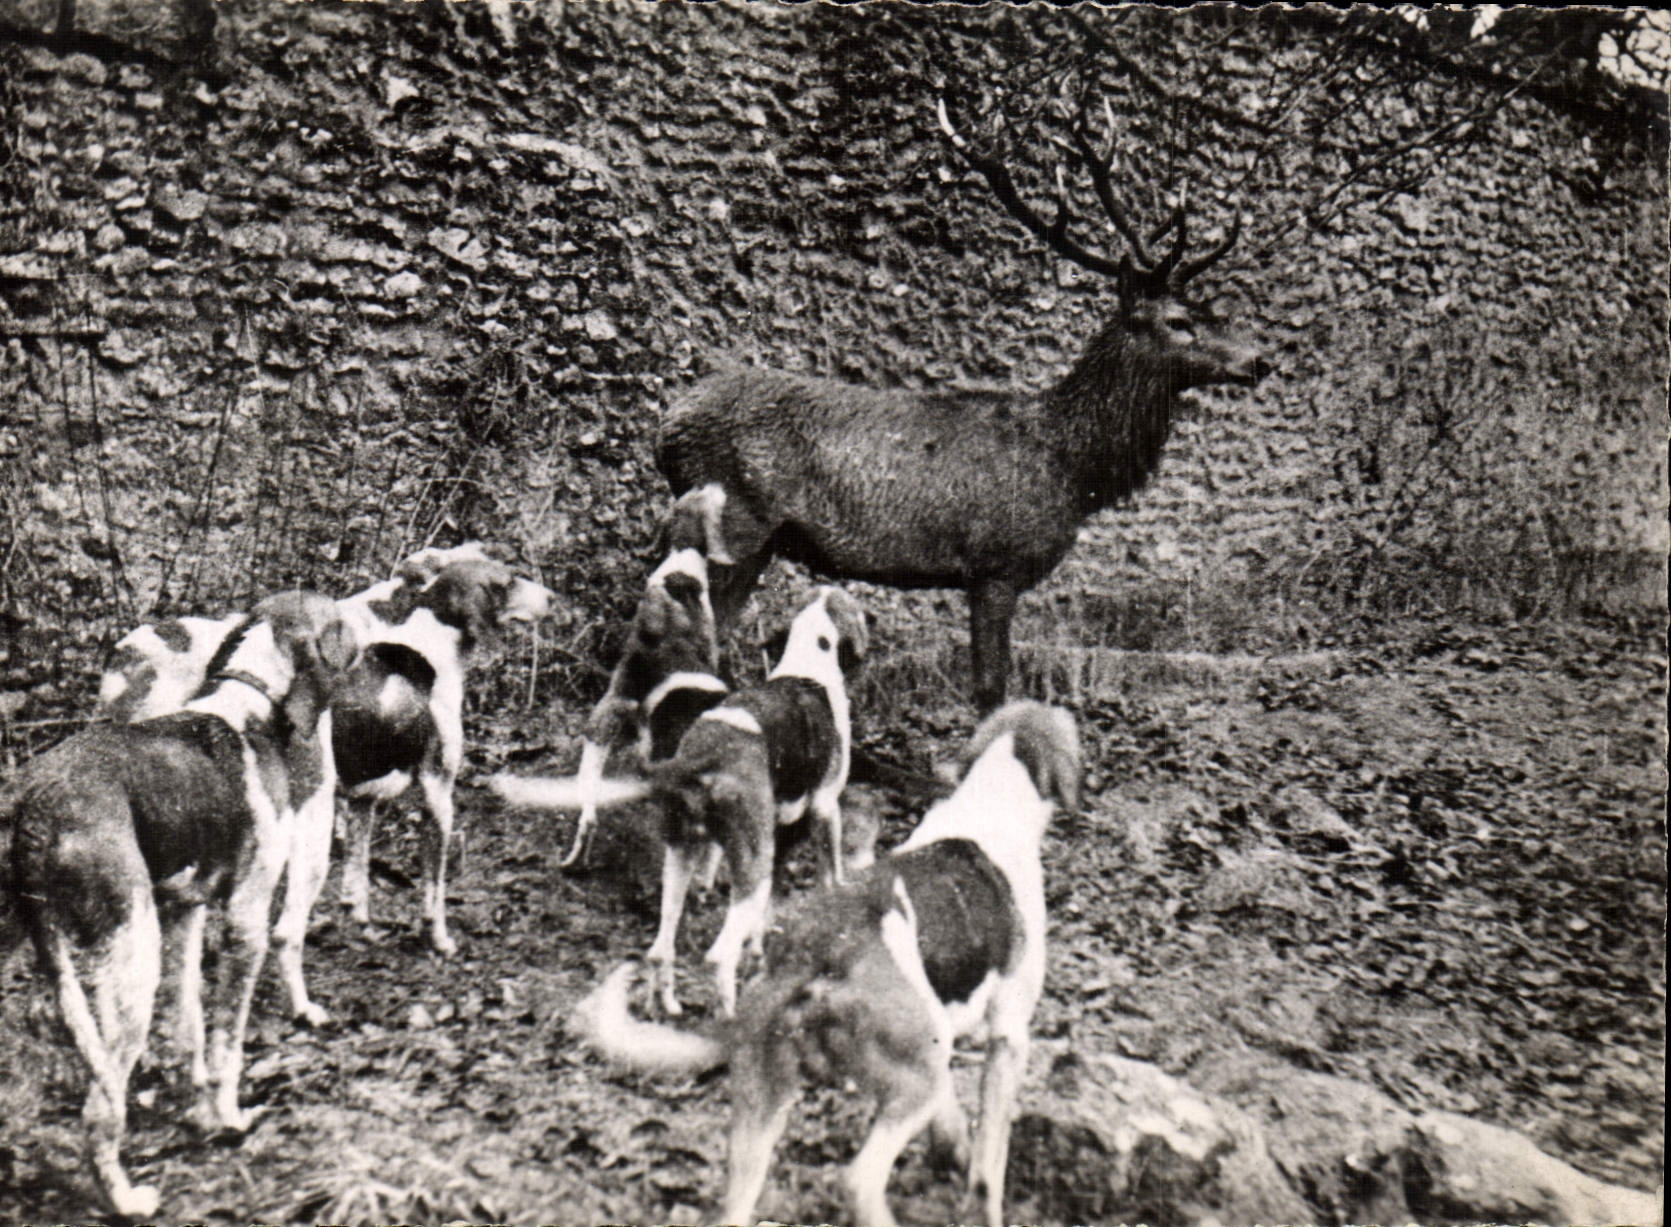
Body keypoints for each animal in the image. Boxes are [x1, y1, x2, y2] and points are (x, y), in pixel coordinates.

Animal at [655, 96, 1272, 713]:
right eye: (1179, 320)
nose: (1259, 360)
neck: (1074, 469)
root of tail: (666, 427)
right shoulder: (996, 564)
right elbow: (991, 687)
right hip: (735, 521)